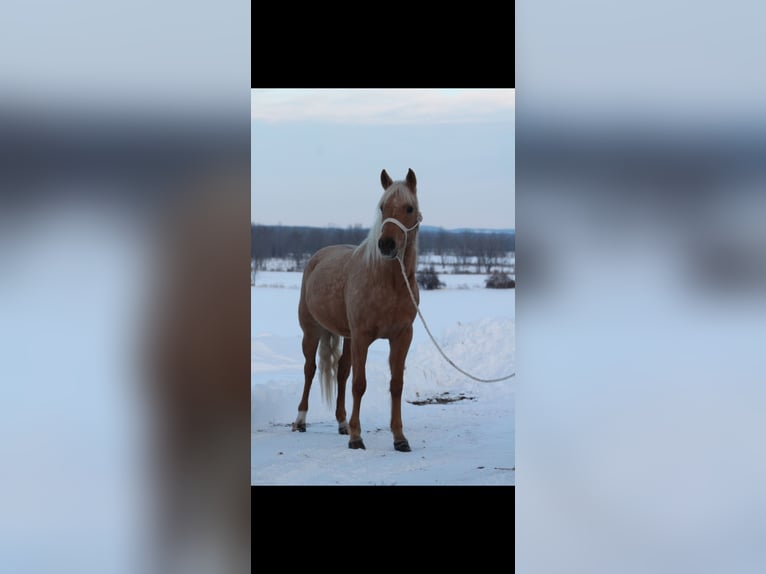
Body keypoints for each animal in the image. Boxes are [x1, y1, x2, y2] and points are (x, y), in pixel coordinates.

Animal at [291, 168, 422, 451]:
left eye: (409, 208)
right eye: (382, 207)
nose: (386, 245)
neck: (388, 283)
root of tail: (317, 258)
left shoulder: (402, 336)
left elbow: (396, 384)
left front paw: (399, 438)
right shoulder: (362, 336)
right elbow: (359, 384)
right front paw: (357, 437)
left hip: (347, 336)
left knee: (341, 371)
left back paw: (342, 423)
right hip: (312, 332)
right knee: (309, 370)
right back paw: (301, 420)